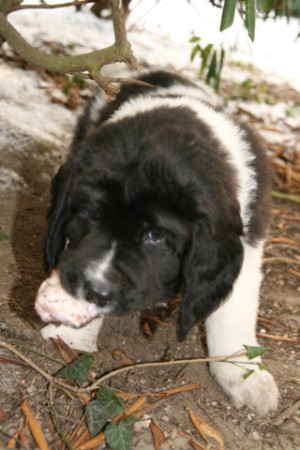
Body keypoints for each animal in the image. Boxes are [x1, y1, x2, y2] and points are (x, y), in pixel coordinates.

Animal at [40, 69, 278, 414]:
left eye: (155, 237)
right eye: (91, 214)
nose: (95, 290)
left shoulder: (249, 237)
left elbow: (234, 311)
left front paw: (245, 375)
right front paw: (68, 339)